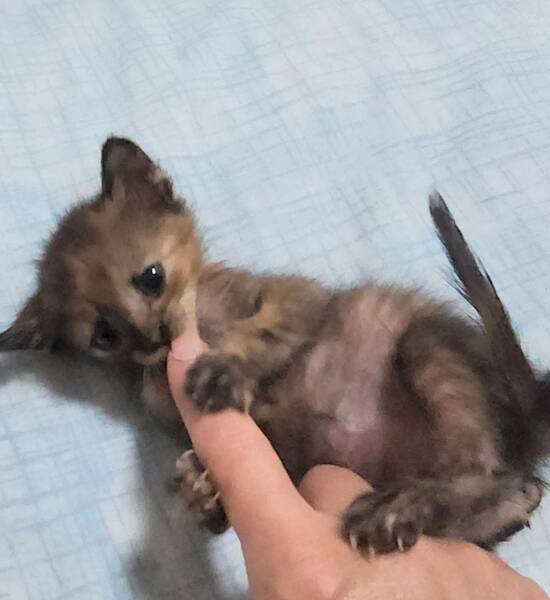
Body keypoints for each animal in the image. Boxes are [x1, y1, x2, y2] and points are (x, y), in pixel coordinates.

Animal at [1, 137, 548, 554]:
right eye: (105, 335)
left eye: (150, 278)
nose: (153, 337)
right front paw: (202, 495)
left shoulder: (297, 298)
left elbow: (268, 329)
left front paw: (226, 368)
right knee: (511, 492)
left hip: (423, 342)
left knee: (480, 467)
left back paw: (396, 508)